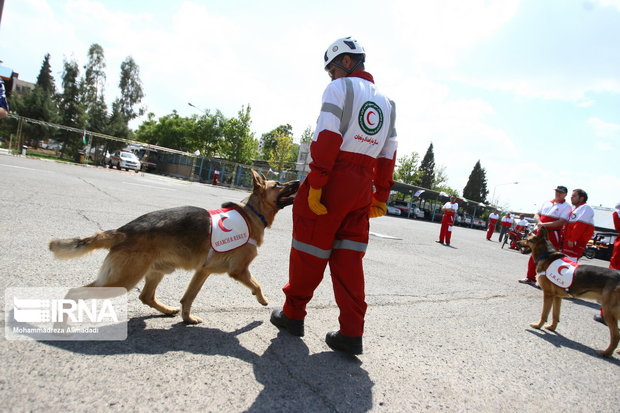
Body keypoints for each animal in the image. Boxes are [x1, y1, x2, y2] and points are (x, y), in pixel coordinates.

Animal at [49, 169, 300, 324]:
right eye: (278, 184)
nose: (299, 180)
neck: (252, 212)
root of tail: (123, 231)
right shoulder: (239, 271)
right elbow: (257, 284)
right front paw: (262, 300)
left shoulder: (202, 272)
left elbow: (188, 298)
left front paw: (187, 319)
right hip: (124, 280)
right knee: (75, 292)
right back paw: (62, 326)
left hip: (154, 272)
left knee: (146, 297)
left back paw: (168, 310)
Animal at [520, 227, 620, 356]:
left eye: (528, 239)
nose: (518, 242)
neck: (546, 254)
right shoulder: (557, 297)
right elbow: (555, 315)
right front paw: (552, 328)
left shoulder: (548, 295)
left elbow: (544, 314)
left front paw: (538, 326)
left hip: (608, 311)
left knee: (616, 335)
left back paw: (606, 352)